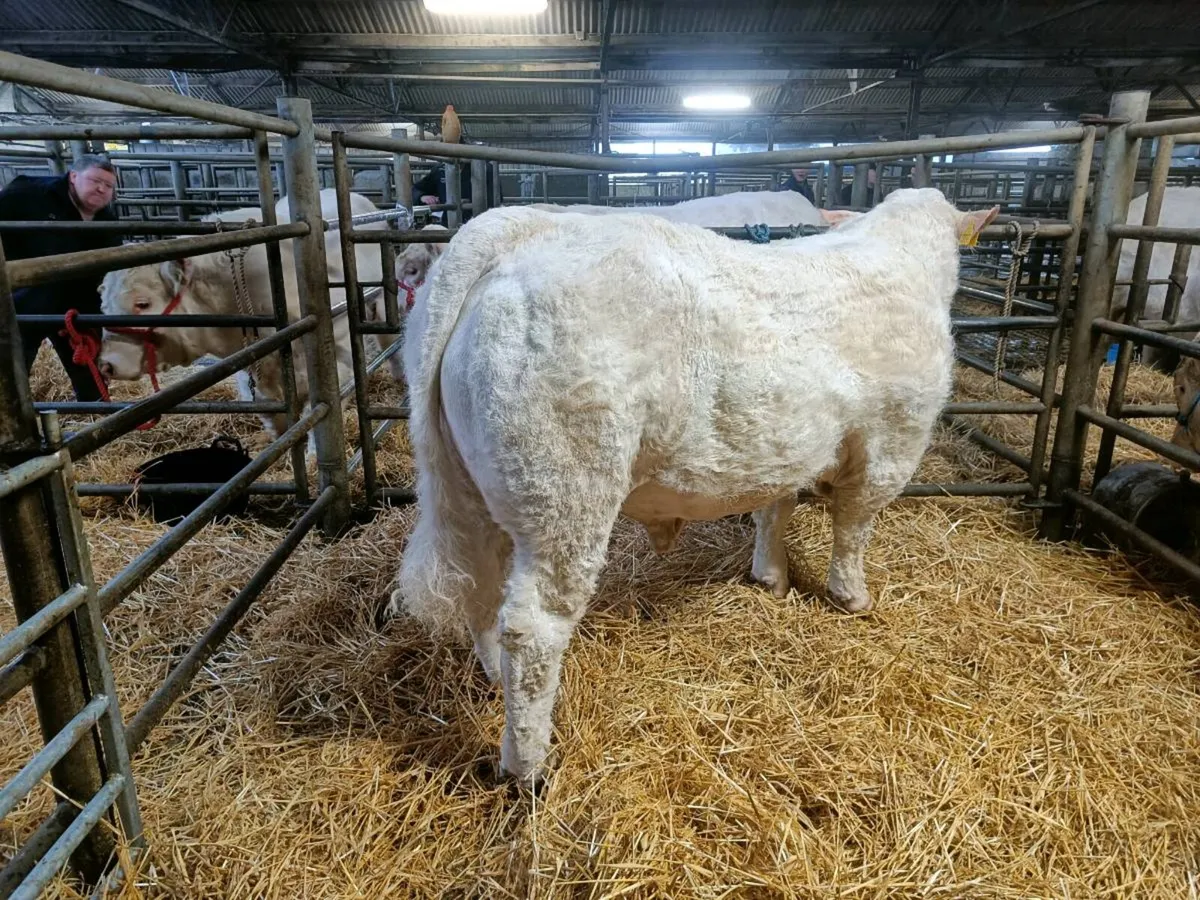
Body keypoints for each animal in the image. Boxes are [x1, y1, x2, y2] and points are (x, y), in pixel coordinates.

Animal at [97, 189, 390, 449]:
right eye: (103, 306)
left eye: (142, 303)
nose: (106, 365)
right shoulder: (252, 380)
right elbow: (279, 424)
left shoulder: (339, 366)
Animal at [385, 188, 998, 784]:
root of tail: (518, 233)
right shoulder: (891, 443)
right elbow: (853, 529)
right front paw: (852, 597)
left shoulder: (787, 448)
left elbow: (775, 508)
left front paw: (770, 576)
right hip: (565, 491)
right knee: (534, 626)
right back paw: (528, 765)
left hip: (474, 486)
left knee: (480, 586)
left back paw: (493, 677)